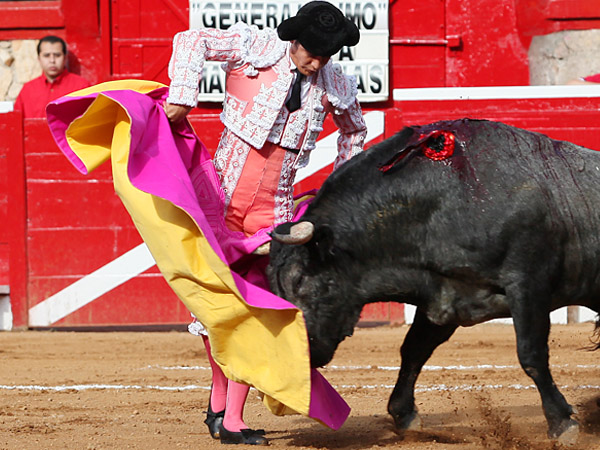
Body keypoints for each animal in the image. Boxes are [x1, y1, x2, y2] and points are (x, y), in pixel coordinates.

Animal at [268, 118, 600, 442]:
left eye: (299, 281)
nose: (293, 364)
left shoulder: (528, 285)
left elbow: (531, 353)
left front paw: (561, 422)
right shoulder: (445, 298)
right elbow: (413, 350)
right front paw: (404, 415)